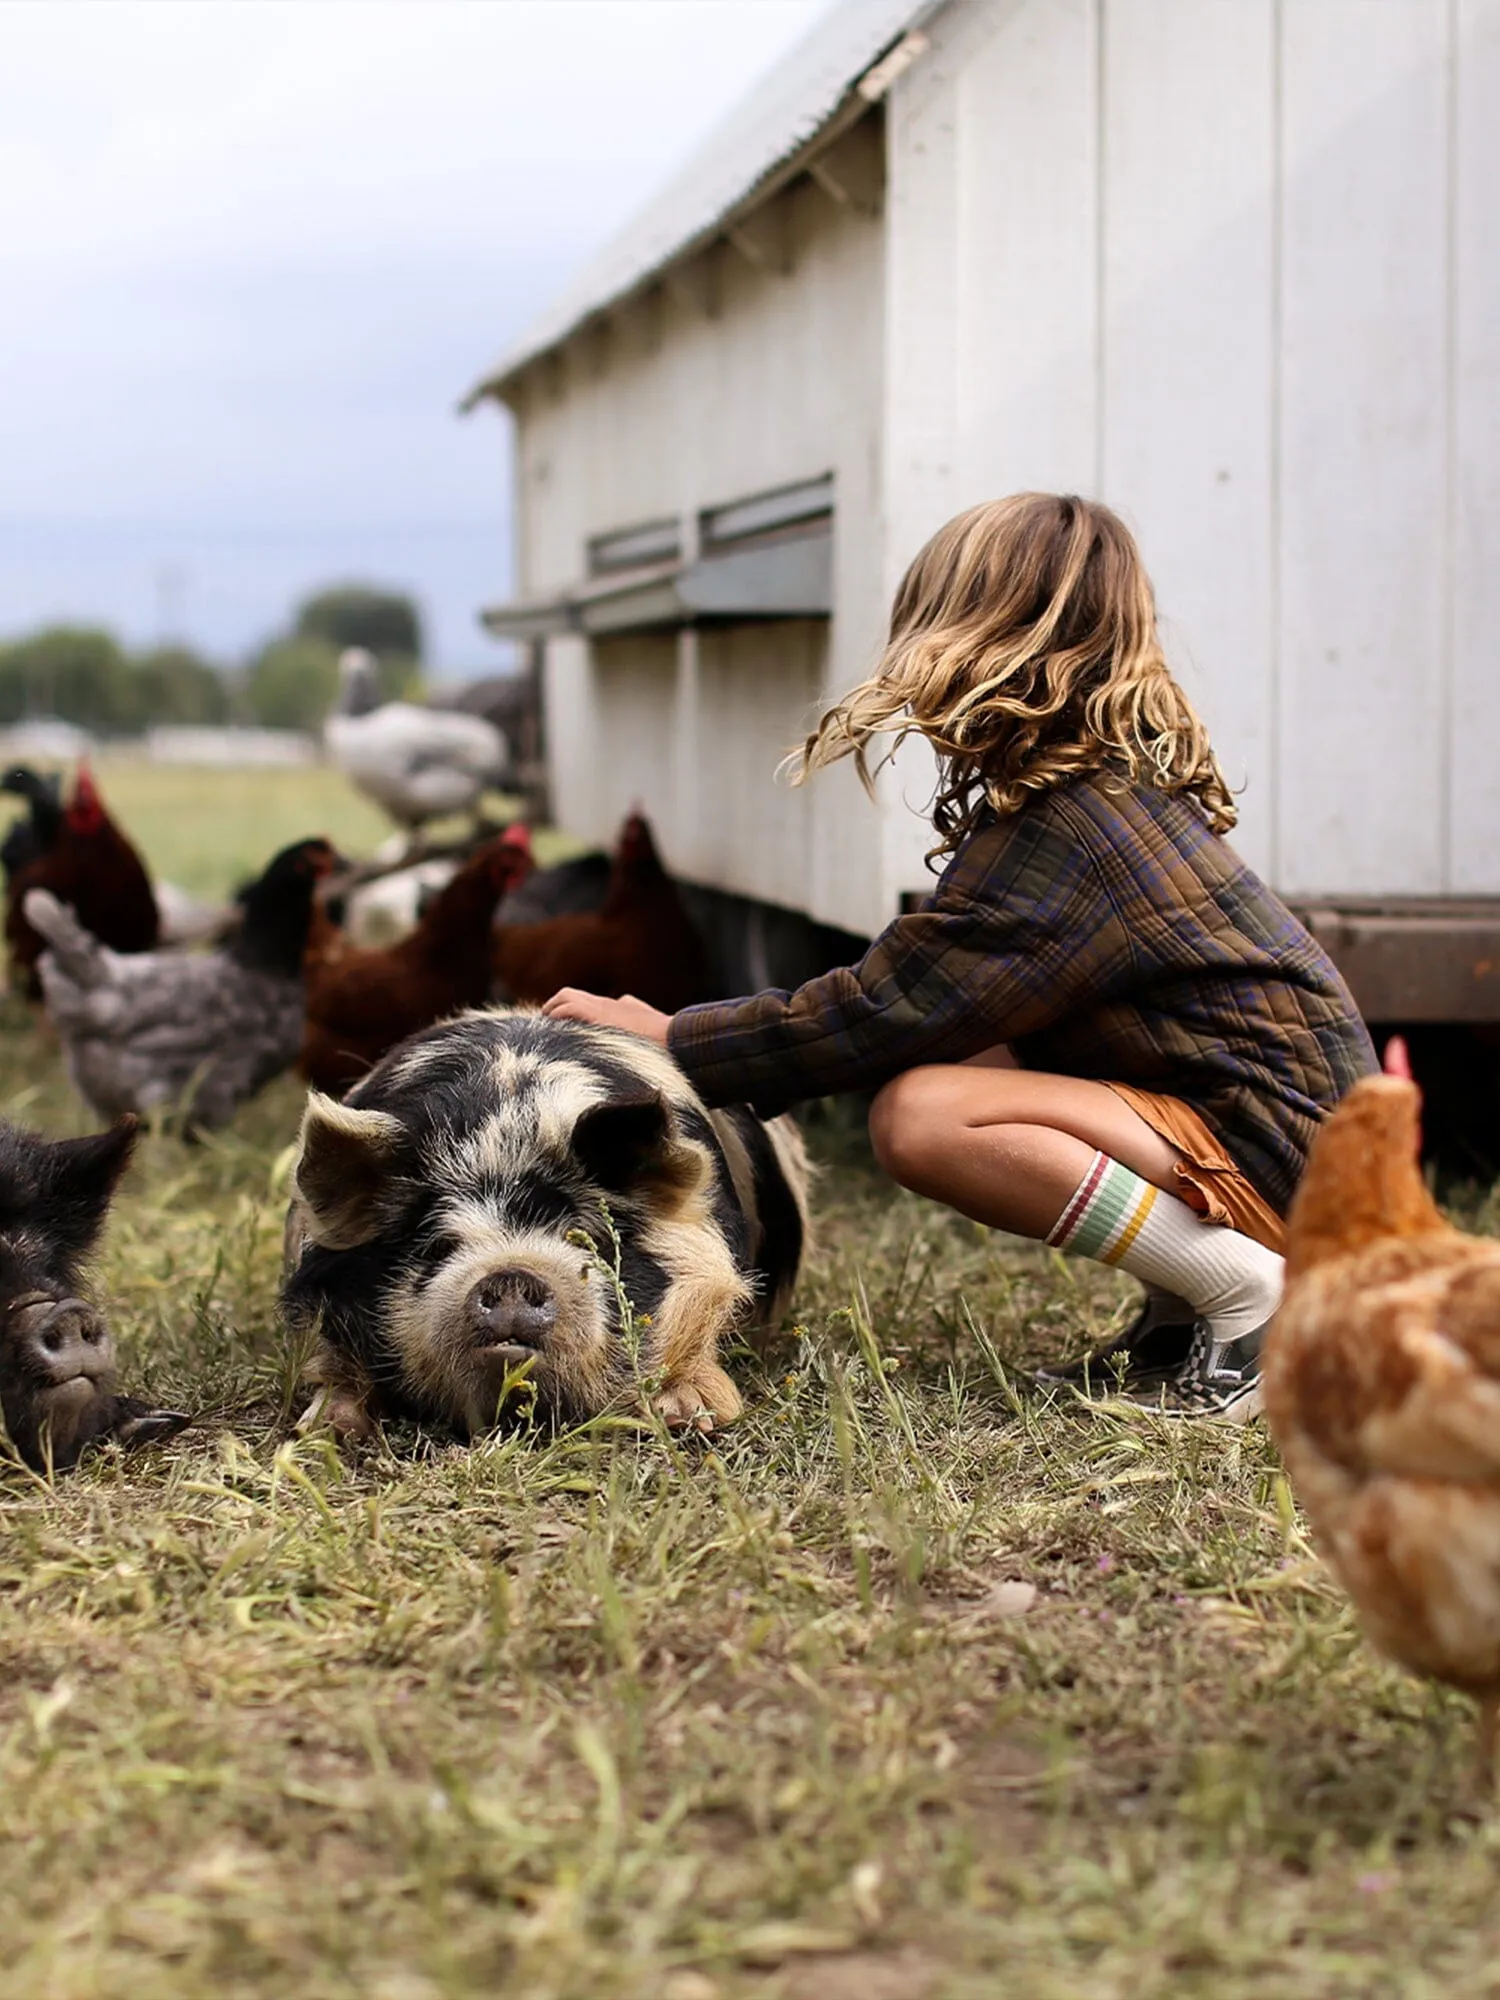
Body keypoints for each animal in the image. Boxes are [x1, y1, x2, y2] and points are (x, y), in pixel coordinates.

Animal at [280, 1016, 812, 1440]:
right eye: (437, 1245)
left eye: (590, 1240)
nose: (511, 1275)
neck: (506, 1127)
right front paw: (325, 1430)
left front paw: (695, 1418)